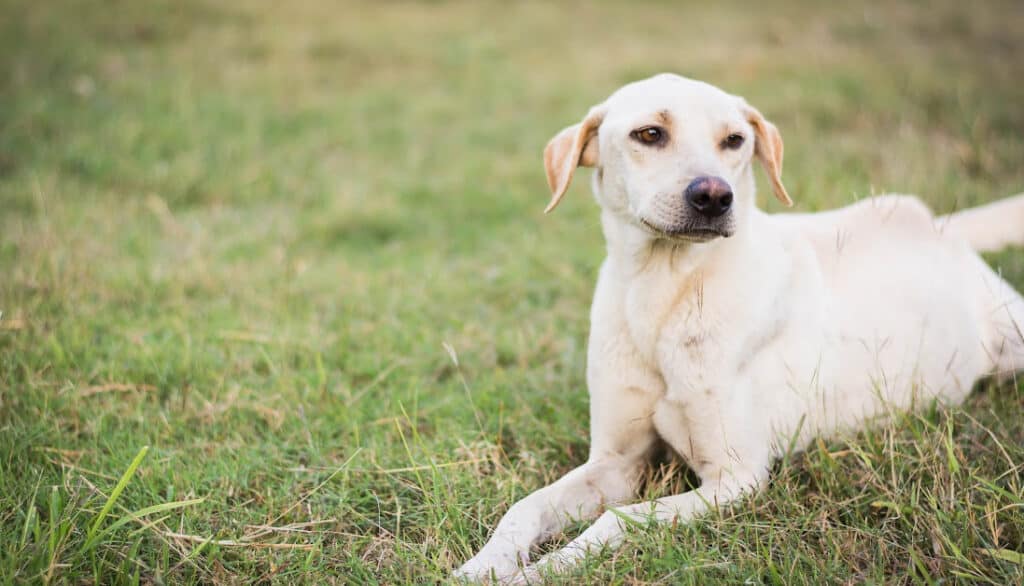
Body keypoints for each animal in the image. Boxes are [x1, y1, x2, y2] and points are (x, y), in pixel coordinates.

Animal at [456, 73, 1024, 581]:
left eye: (735, 140)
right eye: (649, 133)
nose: (714, 195)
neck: (663, 292)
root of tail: (934, 223)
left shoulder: (735, 479)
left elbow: (621, 518)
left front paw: (546, 569)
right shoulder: (616, 460)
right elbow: (524, 507)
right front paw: (485, 565)